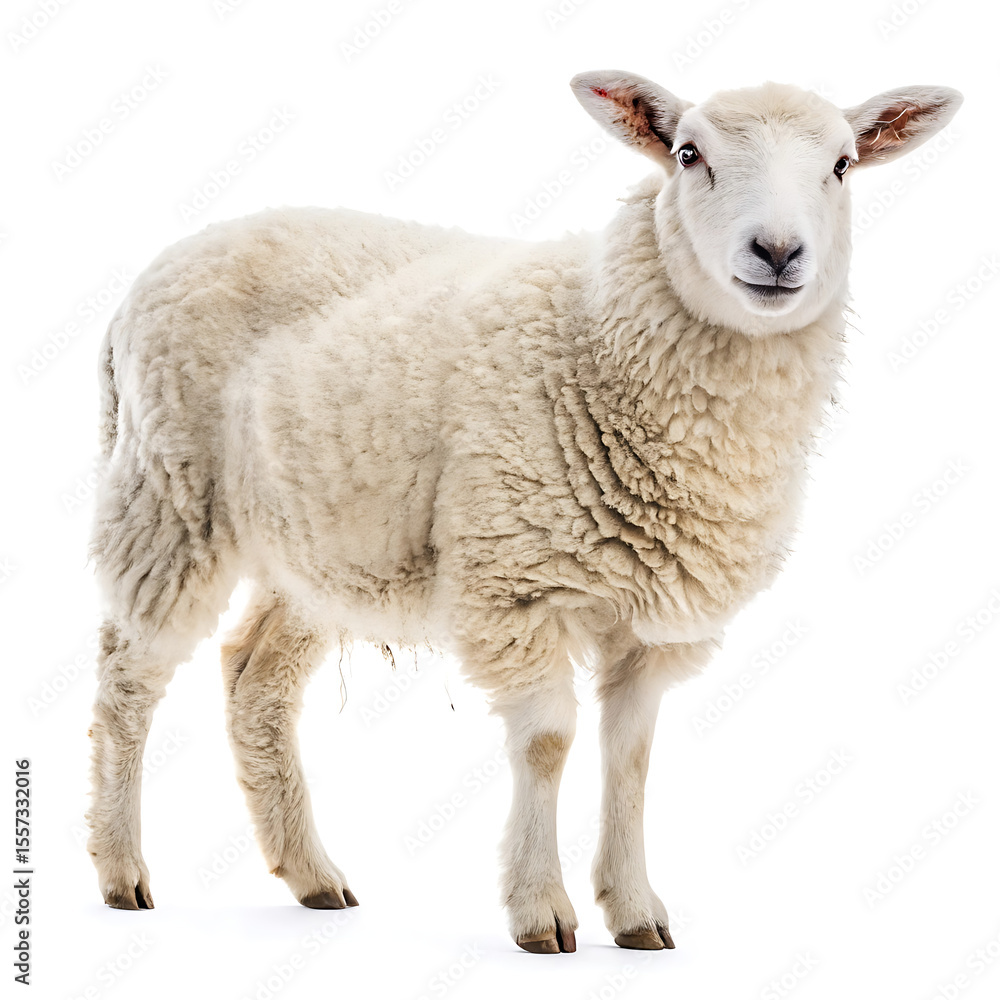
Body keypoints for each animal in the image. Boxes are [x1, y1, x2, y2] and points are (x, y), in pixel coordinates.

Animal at [86, 69, 962, 954]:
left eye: (843, 165)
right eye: (689, 154)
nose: (778, 253)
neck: (596, 336)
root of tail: (156, 271)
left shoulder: (652, 618)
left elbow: (631, 755)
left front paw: (635, 910)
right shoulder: (518, 581)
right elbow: (547, 742)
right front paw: (541, 911)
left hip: (322, 541)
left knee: (255, 678)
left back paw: (311, 876)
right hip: (170, 497)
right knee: (128, 677)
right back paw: (122, 871)